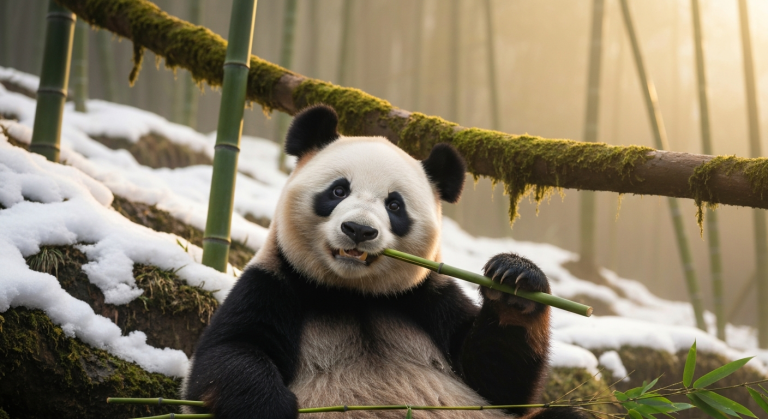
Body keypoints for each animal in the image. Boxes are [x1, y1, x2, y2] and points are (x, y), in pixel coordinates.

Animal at [182, 105, 588, 419]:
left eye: (395, 205)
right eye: (338, 190)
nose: (359, 230)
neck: (351, 293)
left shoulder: (427, 297)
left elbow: (498, 380)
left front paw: (514, 281)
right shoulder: (275, 283)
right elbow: (226, 357)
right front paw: (272, 406)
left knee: (566, 415)